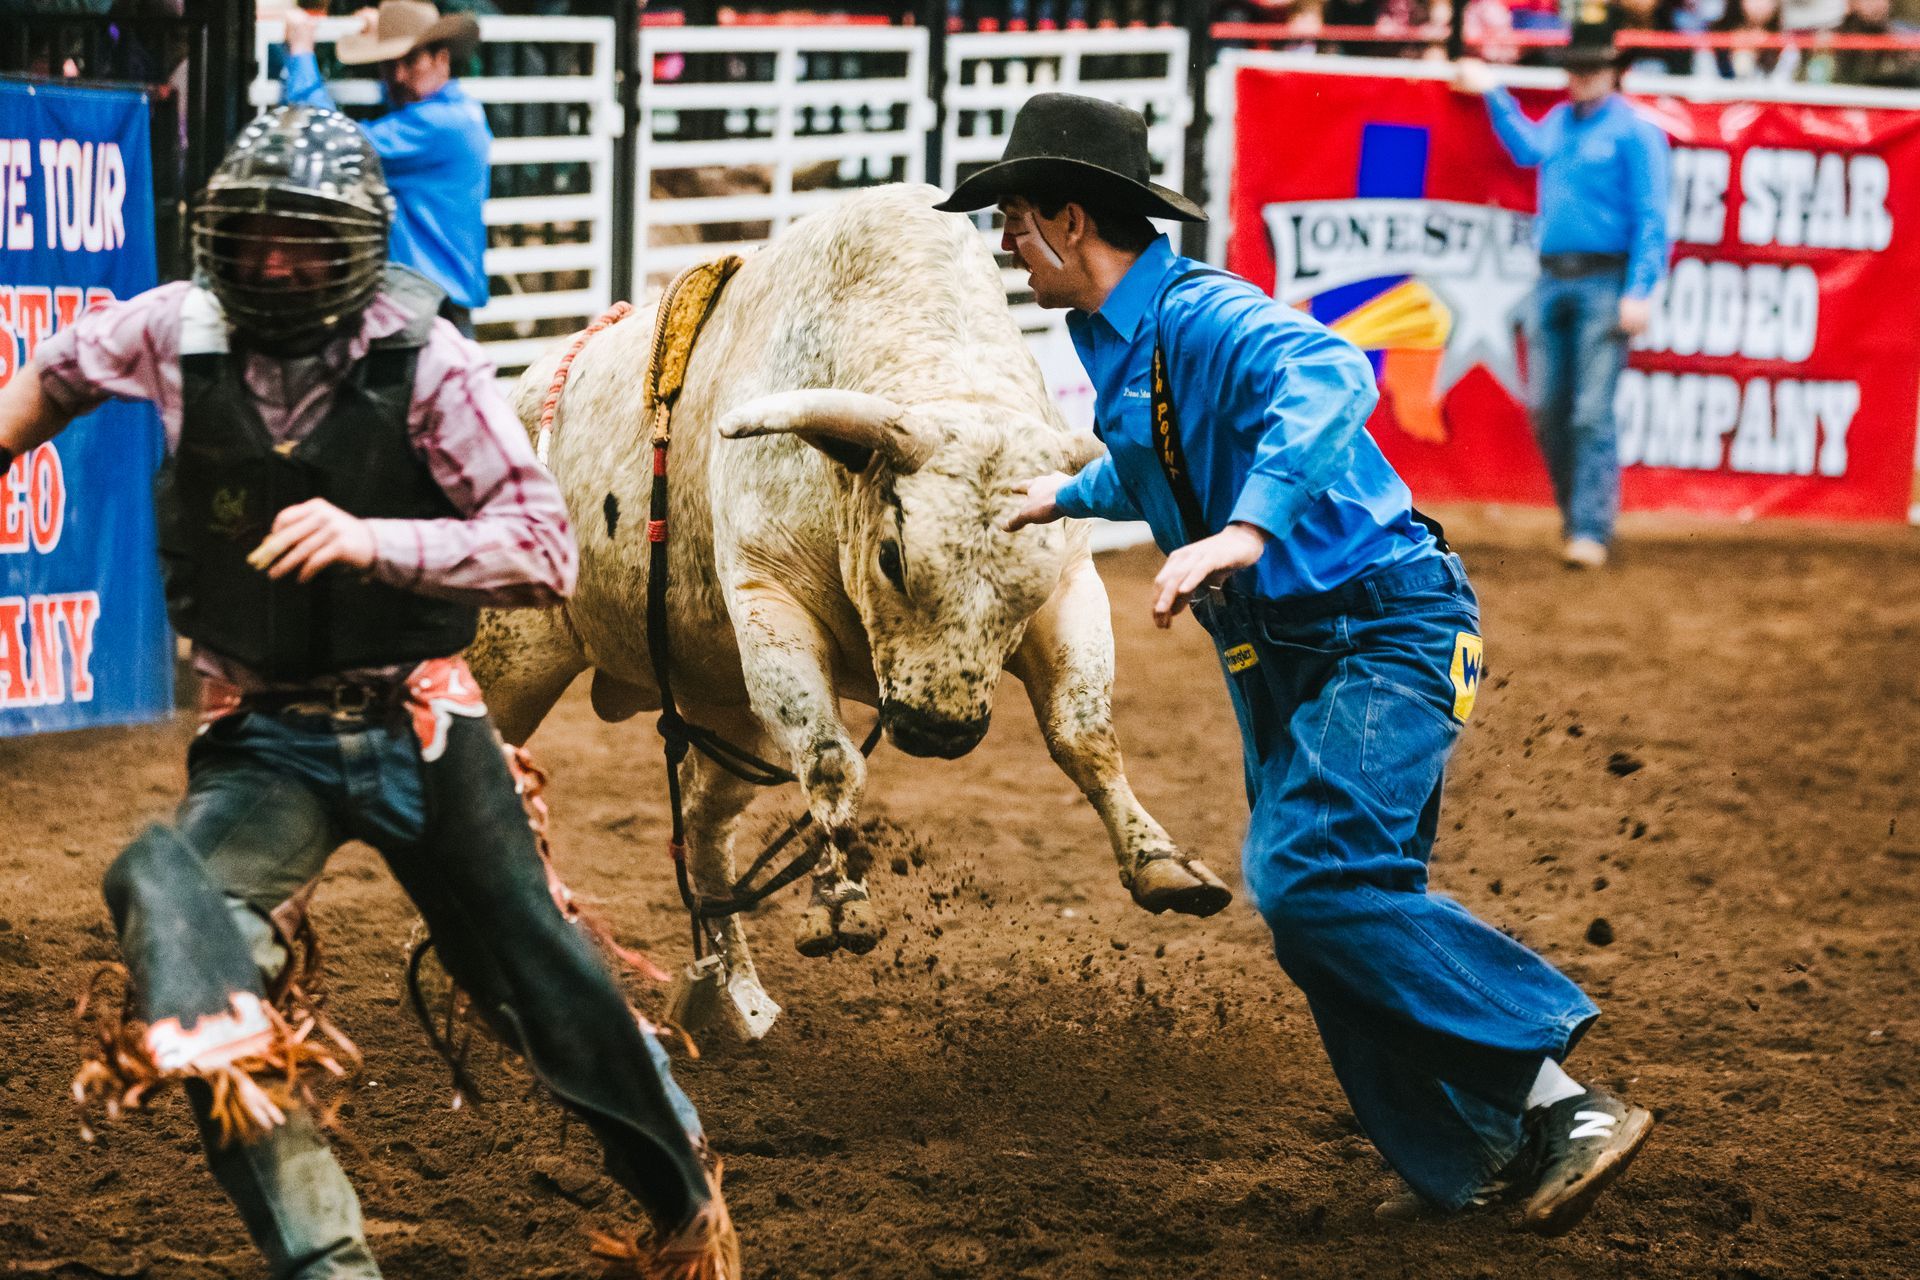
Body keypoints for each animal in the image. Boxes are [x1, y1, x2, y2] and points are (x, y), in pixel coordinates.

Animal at [472, 185, 1236, 1036]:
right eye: (893, 557)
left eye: (1027, 587)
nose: (939, 731)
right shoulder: (768, 598)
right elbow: (832, 756)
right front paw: (839, 902)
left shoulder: (1072, 589)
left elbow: (1085, 735)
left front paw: (1163, 863)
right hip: (513, 658)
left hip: (729, 710)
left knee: (703, 826)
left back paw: (734, 993)